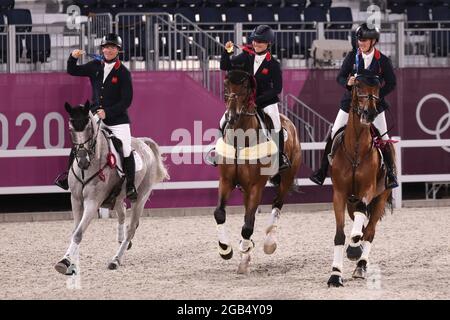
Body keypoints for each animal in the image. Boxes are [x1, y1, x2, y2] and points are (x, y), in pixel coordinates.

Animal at [54, 101, 169, 274]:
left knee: (131, 228)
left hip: (141, 198)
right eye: (70, 129)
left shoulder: (92, 202)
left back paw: (116, 259)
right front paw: (69, 262)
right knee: (122, 214)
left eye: (89, 129)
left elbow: (79, 233)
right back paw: (122, 242)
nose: (82, 161)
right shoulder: (75, 199)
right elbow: (75, 230)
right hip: (118, 198)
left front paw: (64, 262)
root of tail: (144, 143)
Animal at [213, 70, 300, 276]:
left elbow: (247, 227)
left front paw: (245, 250)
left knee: (277, 204)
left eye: (245, 87)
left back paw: (269, 243)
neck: (240, 139)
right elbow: (220, 213)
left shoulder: (255, 186)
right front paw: (225, 249)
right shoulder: (226, 181)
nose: (231, 116)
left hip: (286, 178)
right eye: (226, 84)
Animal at [326, 73, 394, 288]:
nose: (369, 113)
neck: (356, 148)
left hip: (380, 197)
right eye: (357, 86)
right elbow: (340, 235)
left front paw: (354, 249)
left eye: (377, 89)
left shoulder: (368, 190)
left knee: (369, 231)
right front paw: (335, 275)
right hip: (350, 202)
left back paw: (361, 265)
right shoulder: (340, 195)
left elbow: (361, 225)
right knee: (361, 222)